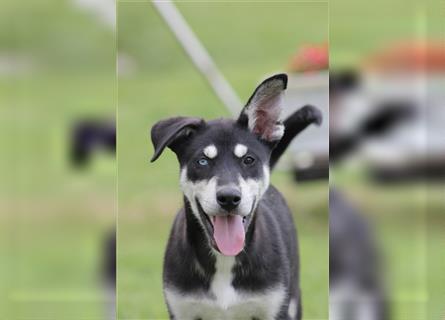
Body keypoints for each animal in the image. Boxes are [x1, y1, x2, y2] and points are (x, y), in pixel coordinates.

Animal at [151, 74, 320, 318]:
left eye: (248, 159)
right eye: (202, 161)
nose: (229, 197)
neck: (224, 260)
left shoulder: (273, 307)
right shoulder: (182, 309)